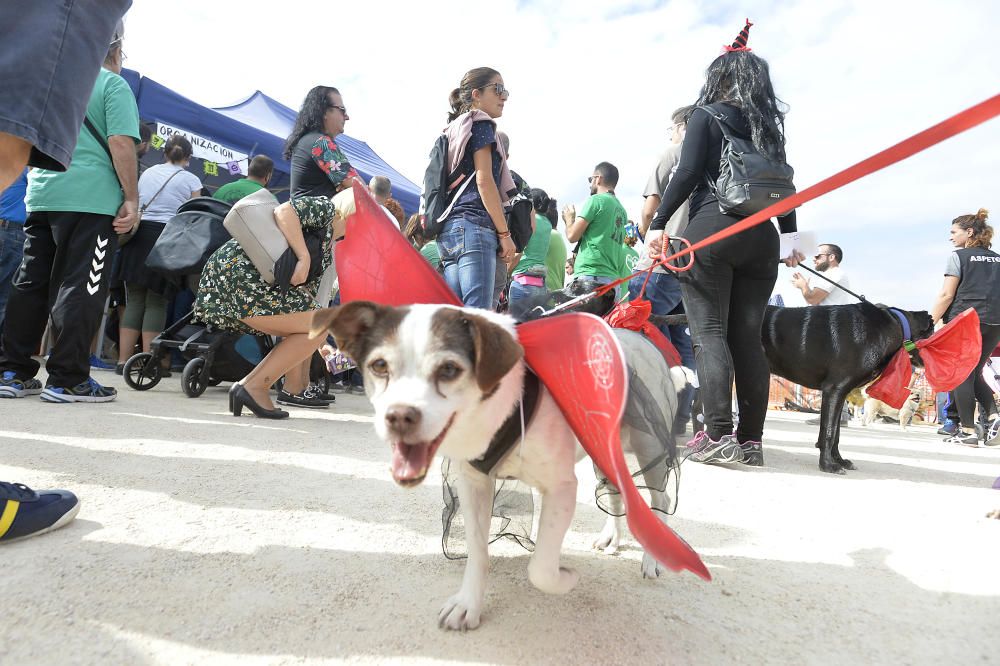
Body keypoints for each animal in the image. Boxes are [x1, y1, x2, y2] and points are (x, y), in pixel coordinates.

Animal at [312, 300, 688, 628]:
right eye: (379, 366)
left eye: (449, 369)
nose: (399, 416)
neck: (502, 406)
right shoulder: (473, 483)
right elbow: (478, 551)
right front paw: (469, 605)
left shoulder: (561, 488)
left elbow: (540, 569)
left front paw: (566, 579)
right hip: (604, 449)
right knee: (615, 494)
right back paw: (612, 537)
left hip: (649, 447)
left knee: (661, 499)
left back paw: (653, 557)